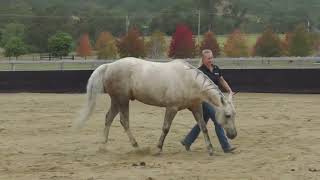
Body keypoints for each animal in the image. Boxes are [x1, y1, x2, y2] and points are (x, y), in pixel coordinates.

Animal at [74, 57, 236, 155]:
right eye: (228, 115)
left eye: (234, 115)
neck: (188, 80)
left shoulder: (196, 107)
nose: (233, 135)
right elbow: (166, 128)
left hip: (116, 101)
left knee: (109, 118)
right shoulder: (171, 108)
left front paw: (210, 149)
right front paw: (158, 149)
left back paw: (103, 146)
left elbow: (203, 127)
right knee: (124, 121)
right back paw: (137, 147)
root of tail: (109, 66)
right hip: (122, 100)